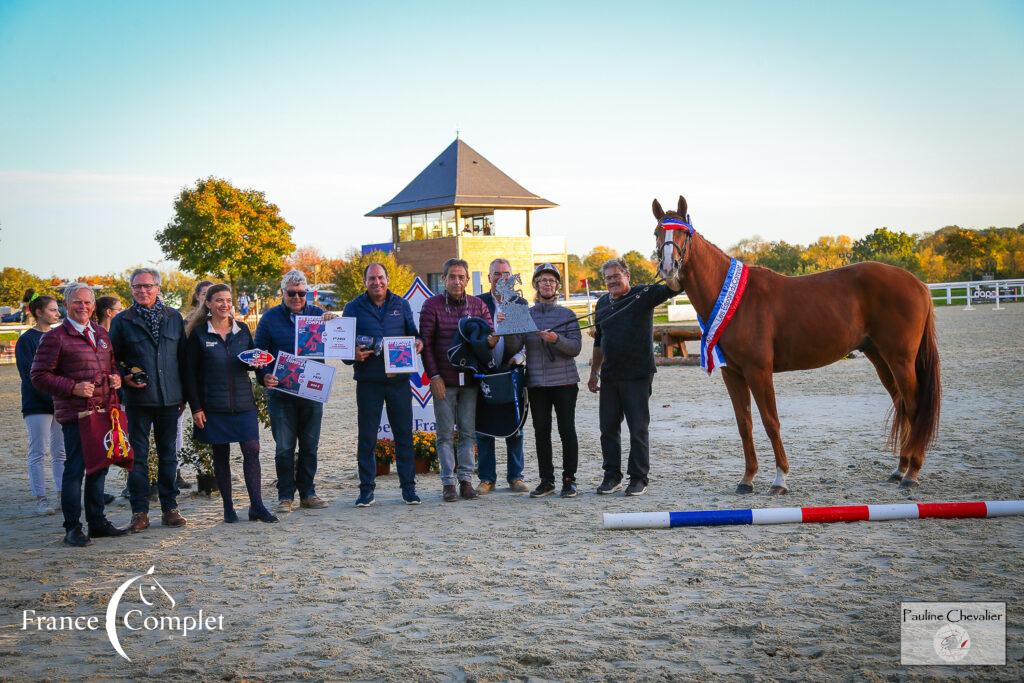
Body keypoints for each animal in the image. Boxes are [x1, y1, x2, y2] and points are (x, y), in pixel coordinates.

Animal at [651, 196, 937, 491]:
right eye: (657, 232)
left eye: (683, 233)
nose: (668, 268)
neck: (735, 299)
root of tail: (918, 284)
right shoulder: (732, 373)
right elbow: (744, 424)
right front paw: (747, 479)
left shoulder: (758, 371)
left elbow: (770, 422)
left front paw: (780, 478)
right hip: (880, 357)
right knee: (902, 405)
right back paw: (900, 468)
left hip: (900, 360)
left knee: (915, 406)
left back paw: (912, 472)